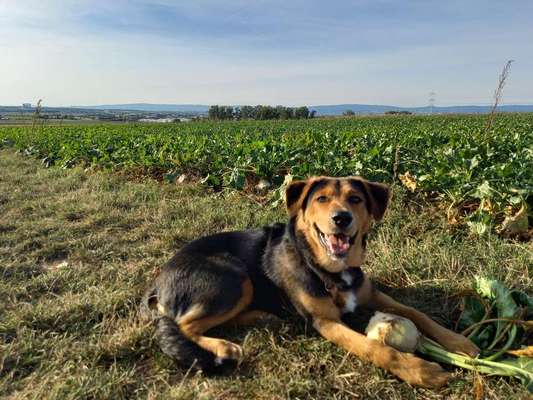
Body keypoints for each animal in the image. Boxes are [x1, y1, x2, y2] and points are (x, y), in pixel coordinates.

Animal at [139, 175, 476, 388]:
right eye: (322, 199)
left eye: (355, 199)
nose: (341, 218)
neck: (328, 269)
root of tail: (159, 281)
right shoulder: (325, 321)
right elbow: (374, 348)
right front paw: (420, 370)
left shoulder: (373, 294)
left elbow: (417, 313)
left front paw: (459, 343)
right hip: (235, 275)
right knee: (183, 324)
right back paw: (224, 348)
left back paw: (261, 317)